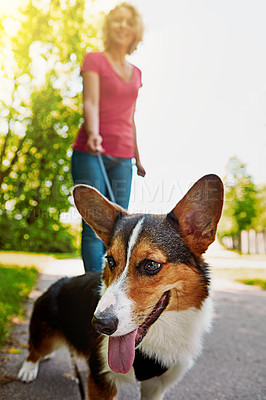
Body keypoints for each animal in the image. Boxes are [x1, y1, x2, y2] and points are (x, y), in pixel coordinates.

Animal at [17, 174, 223, 400]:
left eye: (151, 265)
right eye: (110, 261)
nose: (100, 325)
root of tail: (58, 282)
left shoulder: (156, 386)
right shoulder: (101, 379)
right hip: (45, 334)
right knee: (35, 349)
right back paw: (28, 369)